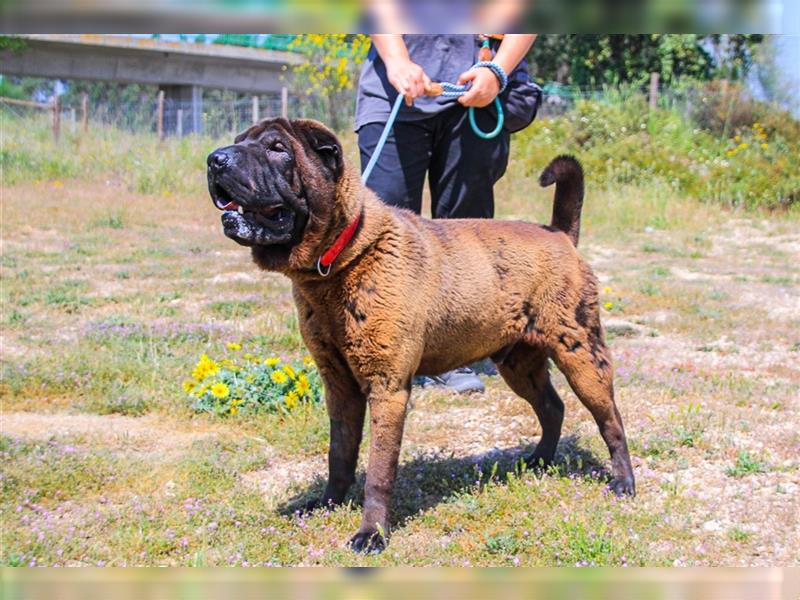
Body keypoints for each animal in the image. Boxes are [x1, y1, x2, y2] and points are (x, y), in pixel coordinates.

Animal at [208, 117, 636, 552]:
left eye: (277, 148)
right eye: (240, 141)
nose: (215, 159)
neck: (344, 260)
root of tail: (559, 234)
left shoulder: (387, 388)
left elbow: (379, 472)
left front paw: (371, 532)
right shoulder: (339, 385)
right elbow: (339, 453)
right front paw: (327, 502)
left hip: (582, 356)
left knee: (611, 421)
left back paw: (623, 482)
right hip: (519, 365)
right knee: (552, 408)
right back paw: (539, 461)